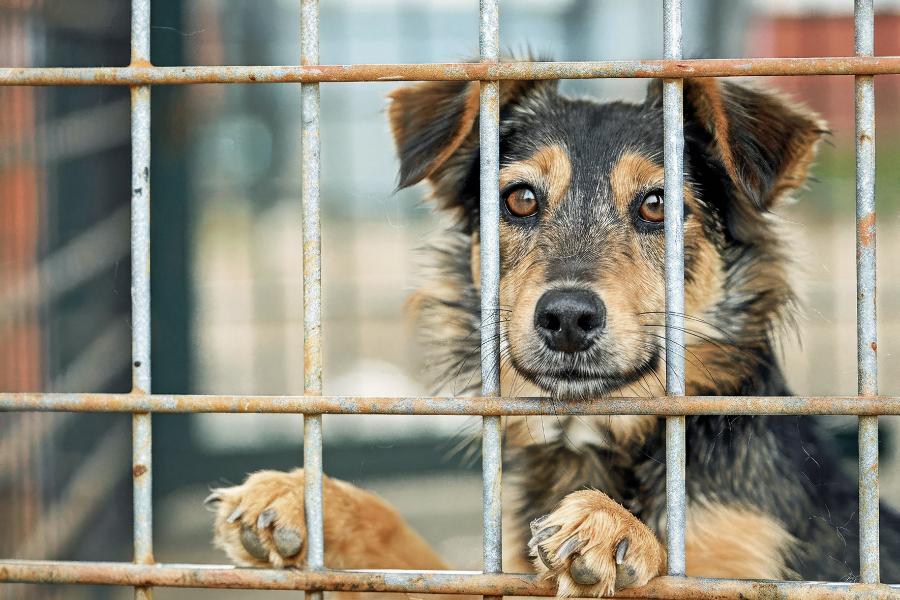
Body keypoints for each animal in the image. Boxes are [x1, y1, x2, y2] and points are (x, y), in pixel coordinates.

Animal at [206, 74, 900, 596]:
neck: (594, 440)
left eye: (657, 205)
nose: (566, 316)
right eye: (519, 200)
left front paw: (614, 529)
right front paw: (310, 498)